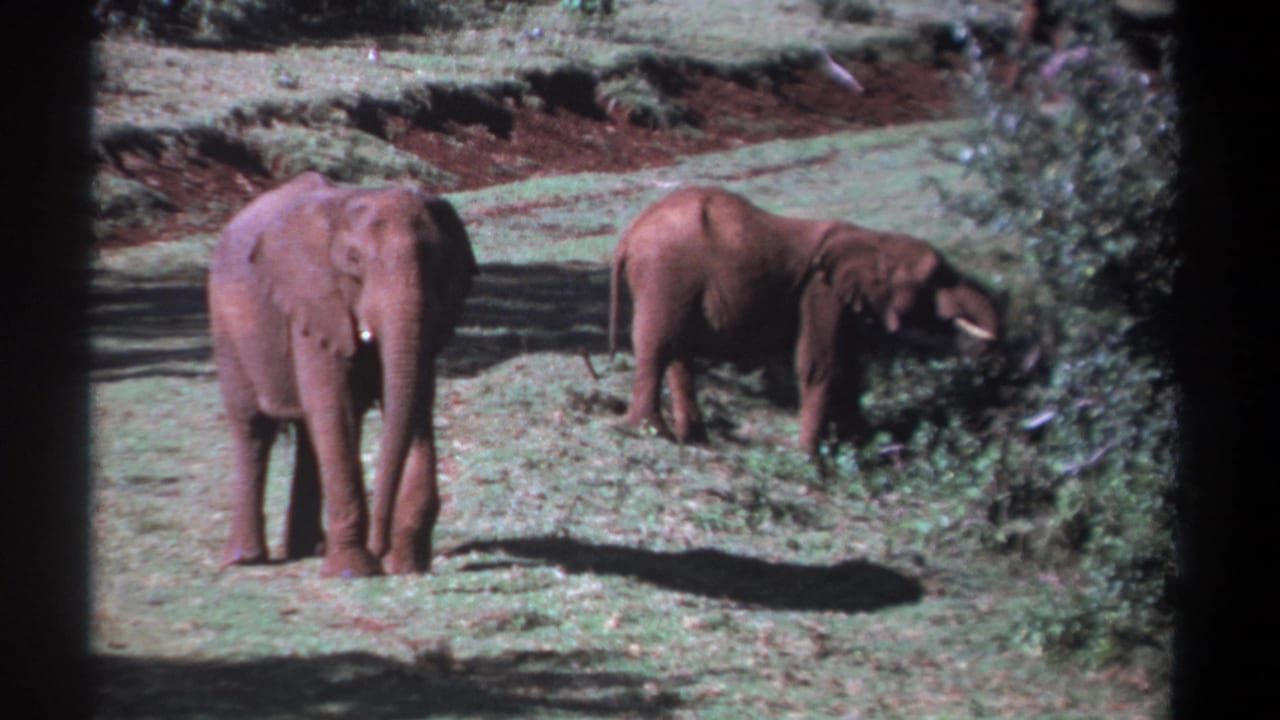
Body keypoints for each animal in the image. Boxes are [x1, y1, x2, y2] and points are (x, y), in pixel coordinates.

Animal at [208, 171, 477, 578]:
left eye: (438, 260)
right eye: (353, 260)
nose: (380, 549)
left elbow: (415, 403)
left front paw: (406, 565)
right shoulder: (313, 300)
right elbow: (335, 407)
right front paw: (354, 571)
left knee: (307, 432)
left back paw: (308, 548)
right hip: (226, 329)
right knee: (253, 427)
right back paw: (245, 559)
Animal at [608, 186, 998, 456]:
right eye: (934, 278)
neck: (872, 239)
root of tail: (630, 233)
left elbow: (851, 367)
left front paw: (857, 448)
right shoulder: (821, 292)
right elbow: (822, 363)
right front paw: (811, 457)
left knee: (679, 351)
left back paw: (695, 439)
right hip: (666, 271)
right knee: (658, 345)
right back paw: (648, 431)